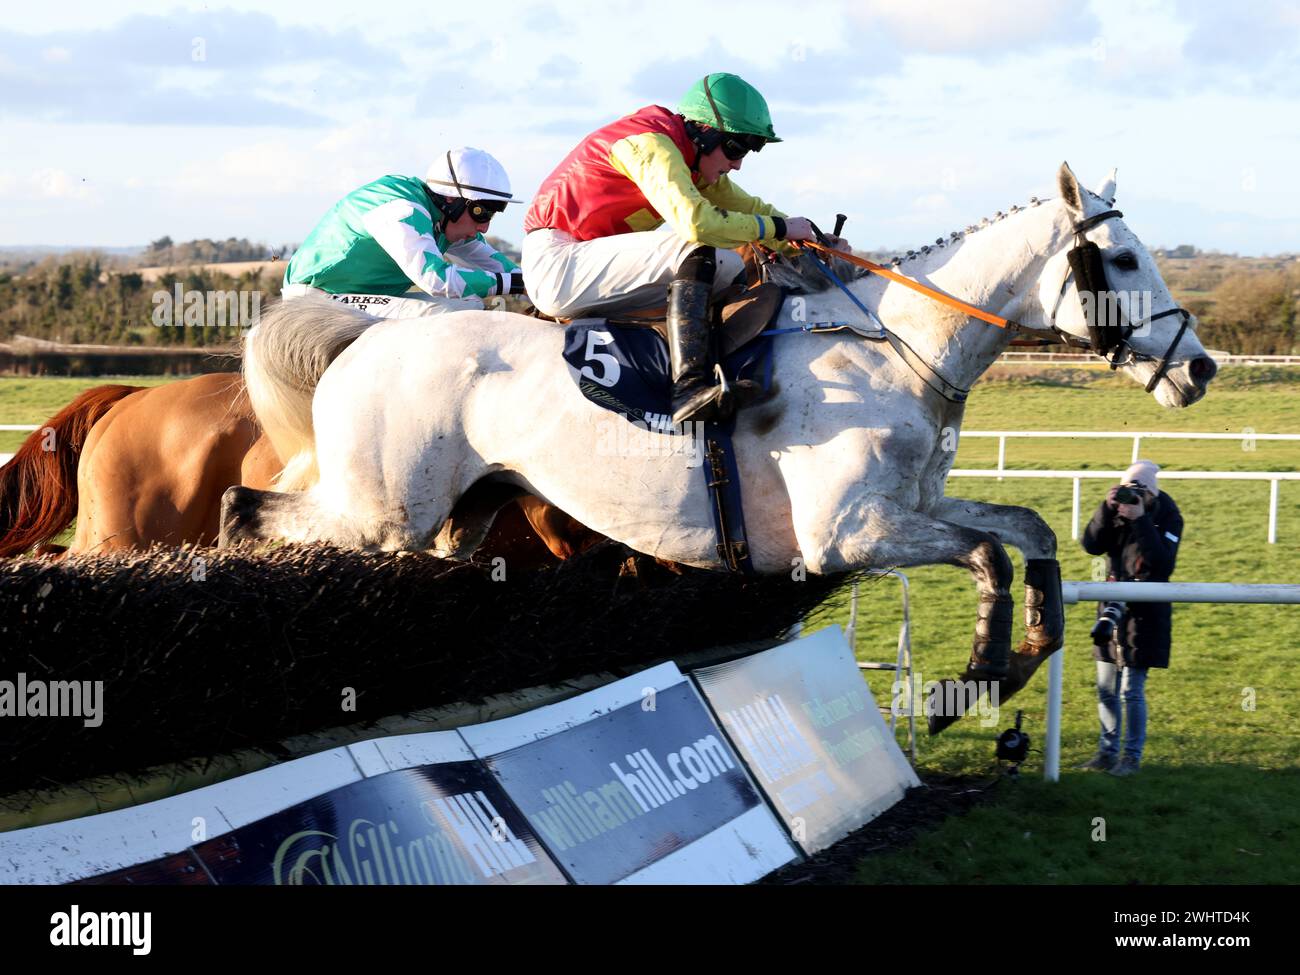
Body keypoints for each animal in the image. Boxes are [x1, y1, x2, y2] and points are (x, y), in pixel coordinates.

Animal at [226, 162, 1216, 728]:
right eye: (1122, 259)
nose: (1199, 367)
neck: (896, 347)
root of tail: (366, 338)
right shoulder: (845, 534)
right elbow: (988, 555)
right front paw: (970, 677)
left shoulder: (916, 503)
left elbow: (1029, 534)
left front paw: (1013, 660)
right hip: (379, 509)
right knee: (249, 509)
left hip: (457, 516)